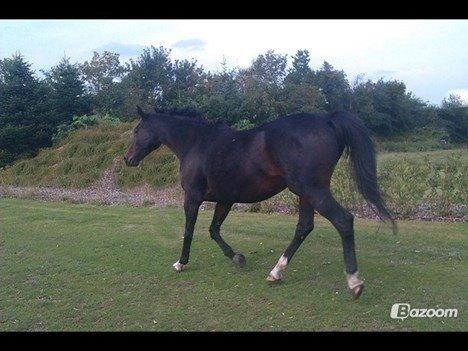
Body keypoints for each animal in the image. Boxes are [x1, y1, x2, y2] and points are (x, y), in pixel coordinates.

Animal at [124, 106, 394, 300]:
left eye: (137, 130)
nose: (128, 159)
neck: (197, 143)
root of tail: (328, 120)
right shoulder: (225, 200)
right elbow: (214, 230)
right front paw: (237, 258)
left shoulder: (192, 198)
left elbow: (189, 230)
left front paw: (180, 263)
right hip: (305, 193)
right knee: (304, 227)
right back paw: (276, 273)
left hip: (313, 191)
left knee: (343, 220)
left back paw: (354, 282)